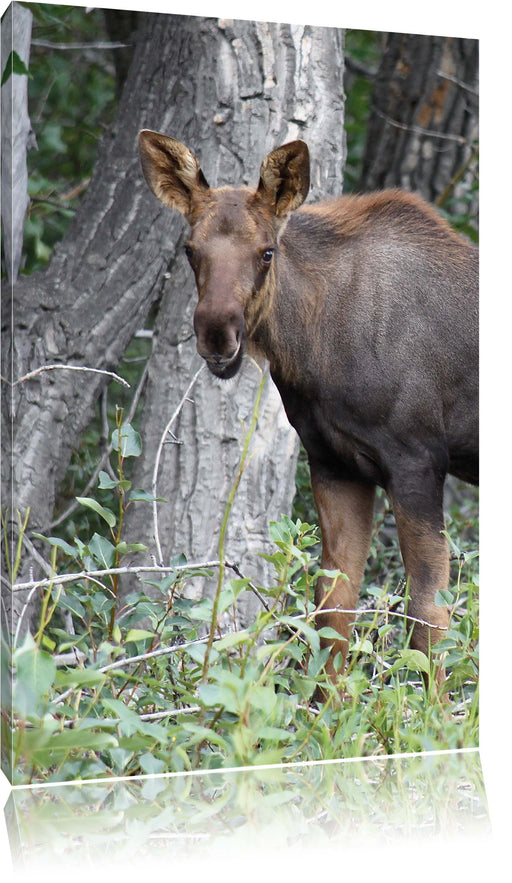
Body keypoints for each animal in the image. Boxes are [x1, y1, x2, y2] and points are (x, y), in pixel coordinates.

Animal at [138, 131, 478, 688]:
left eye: (267, 252)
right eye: (190, 250)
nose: (217, 334)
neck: (313, 353)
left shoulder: (419, 460)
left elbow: (430, 619)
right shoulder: (336, 463)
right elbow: (330, 612)